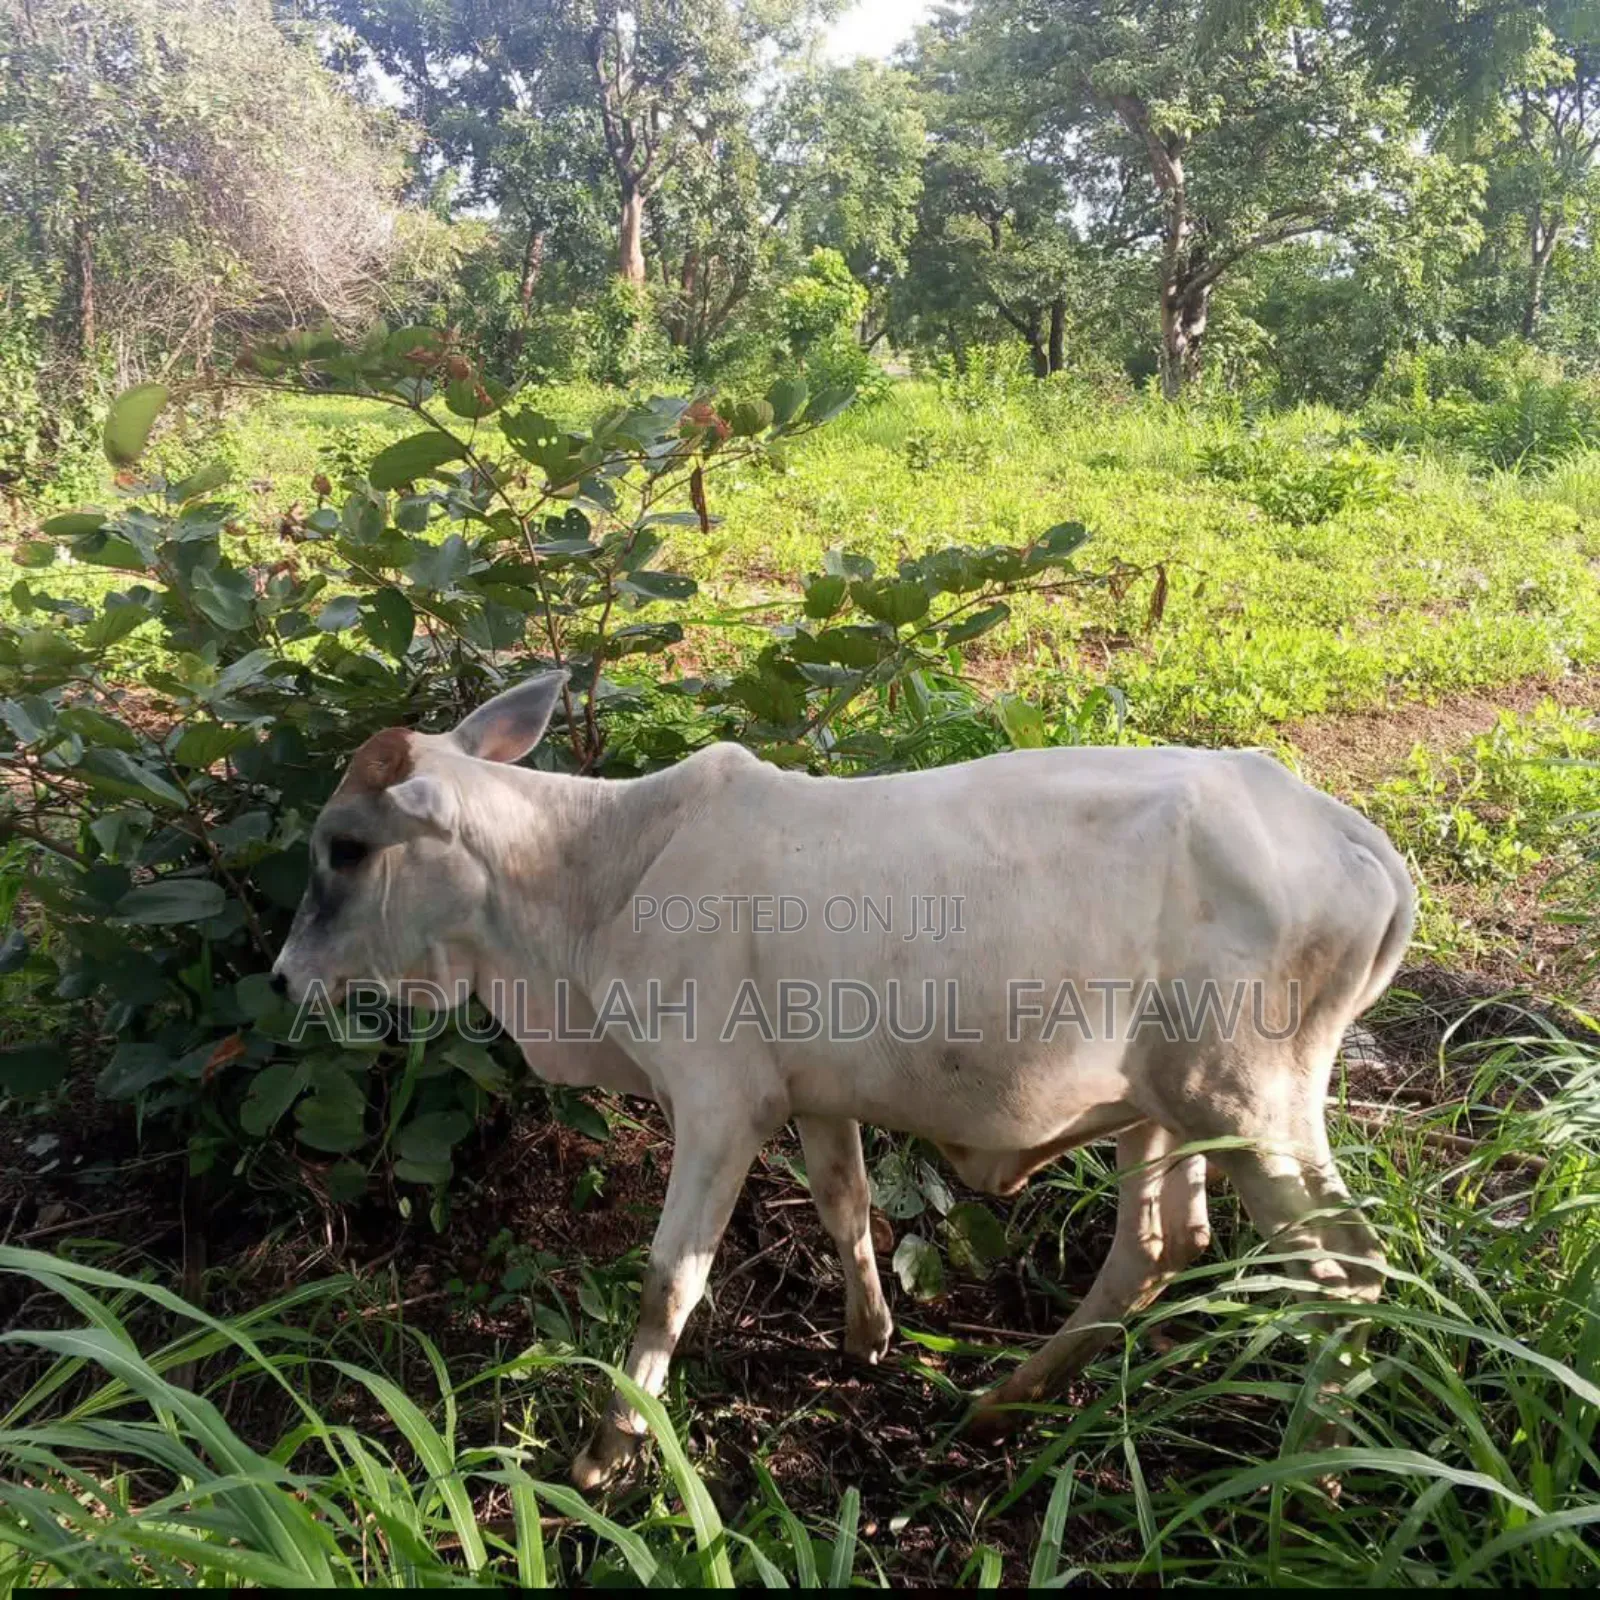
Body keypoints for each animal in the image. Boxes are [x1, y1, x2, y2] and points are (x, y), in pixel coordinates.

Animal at [270, 669, 1415, 1490]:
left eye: (345, 847)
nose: (283, 976)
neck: (597, 875)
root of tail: (1354, 838)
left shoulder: (718, 1106)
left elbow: (669, 1279)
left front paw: (609, 1449)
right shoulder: (811, 1097)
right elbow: (845, 1205)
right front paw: (868, 1341)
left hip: (1252, 1103)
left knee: (1348, 1271)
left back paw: (1310, 1470)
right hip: (1165, 1112)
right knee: (1160, 1247)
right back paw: (1005, 1405)